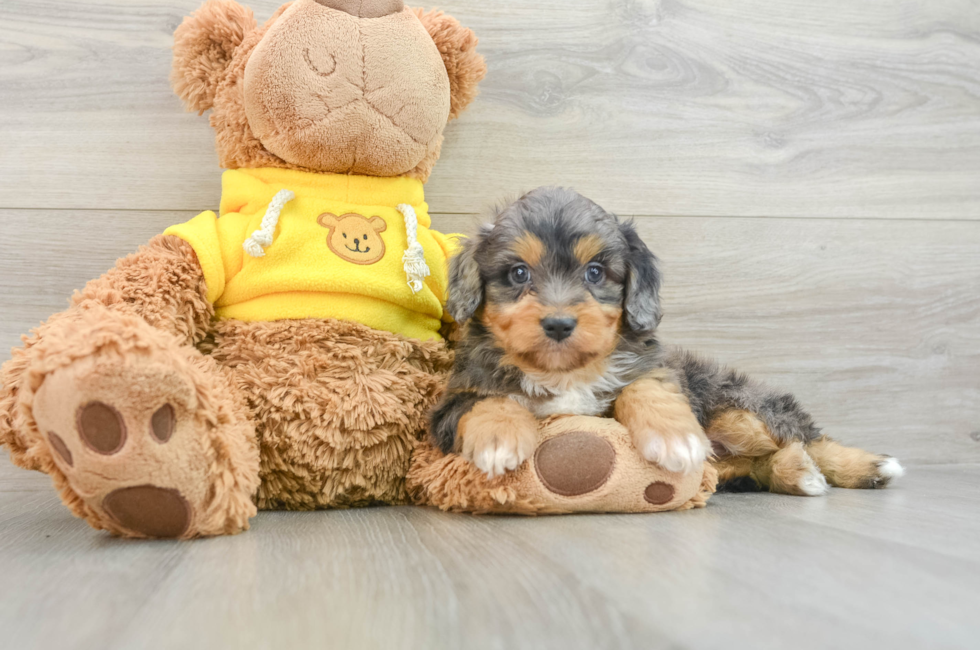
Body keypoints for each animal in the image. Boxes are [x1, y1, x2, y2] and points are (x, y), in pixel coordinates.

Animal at [428, 185, 904, 494]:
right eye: (518, 274)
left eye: (595, 272)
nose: (560, 324)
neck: (568, 371)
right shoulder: (450, 405)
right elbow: (489, 402)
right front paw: (500, 441)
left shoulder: (656, 367)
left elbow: (643, 387)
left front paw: (673, 437)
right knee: (768, 461)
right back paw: (799, 474)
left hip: (743, 408)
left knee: (803, 436)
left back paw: (868, 465)